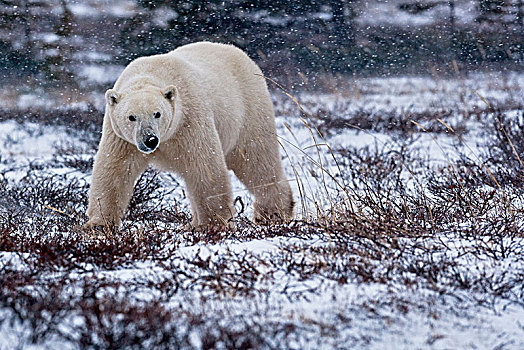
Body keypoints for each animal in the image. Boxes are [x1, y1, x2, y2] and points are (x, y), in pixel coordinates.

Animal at [88, 41, 296, 230]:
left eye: (157, 113)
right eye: (131, 117)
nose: (150, 140)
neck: (149, 74)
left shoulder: (189, 120)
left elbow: (204, 167)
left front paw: (214, 224)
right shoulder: (121, 137)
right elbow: (114, 170)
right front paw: (98, 225)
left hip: (249, 110)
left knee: (257, 160)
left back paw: (273, 213)